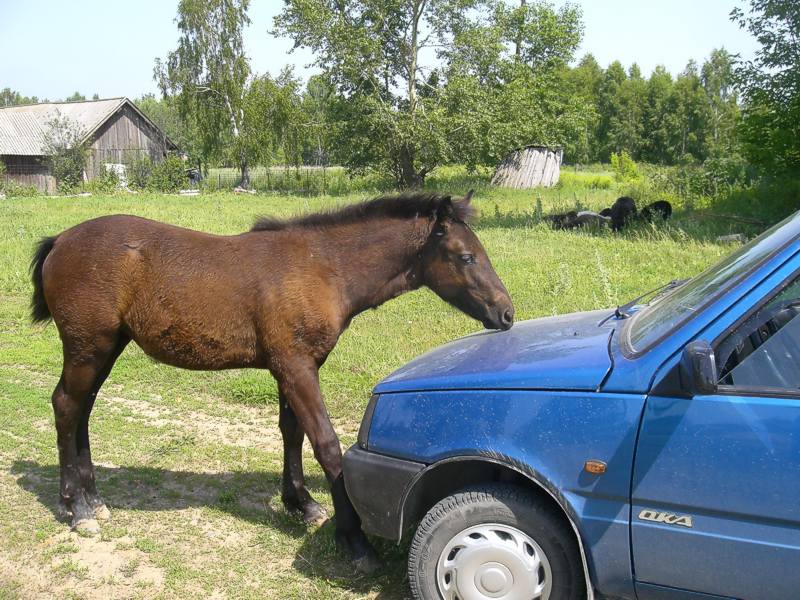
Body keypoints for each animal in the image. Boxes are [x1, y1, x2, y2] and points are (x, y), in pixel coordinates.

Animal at [29, 190, 512, 568]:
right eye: (466, 256)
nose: (506, 314)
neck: (322, 267)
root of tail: (60, 240)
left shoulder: (293, 366)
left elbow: (291, 432)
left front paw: (301, 504)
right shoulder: (296, 367)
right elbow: (325, 443)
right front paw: (354, 540)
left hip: (107, 348)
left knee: (83, 410)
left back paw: (94, 501)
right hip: (88, 347)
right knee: (67, 406)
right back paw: (77, 509)